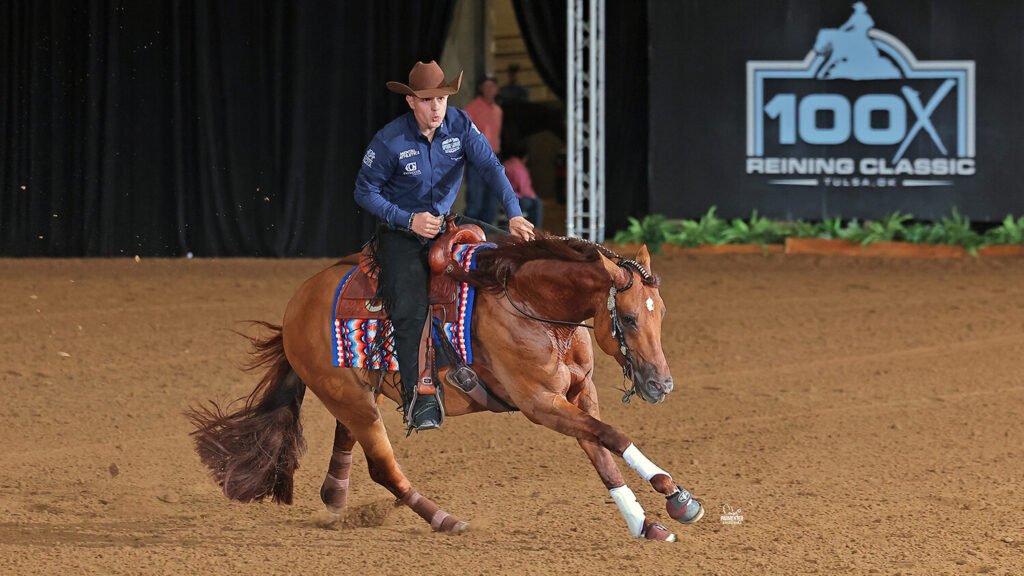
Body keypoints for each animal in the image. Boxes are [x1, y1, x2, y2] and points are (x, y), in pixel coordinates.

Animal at [188, 233, 705, 541]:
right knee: (383, 467)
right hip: (351, 399)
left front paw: (644, 522)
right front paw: (675, 495)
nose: (661, 384)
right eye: (631, 318)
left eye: (662, 313)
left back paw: (334, 503)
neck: (532, 305)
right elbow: (613, 437)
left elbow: (600, 451)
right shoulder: (539, 403)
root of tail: (297, 305)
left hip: (357, 395)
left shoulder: (579, 394)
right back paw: (445, 519)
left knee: (347, 441)